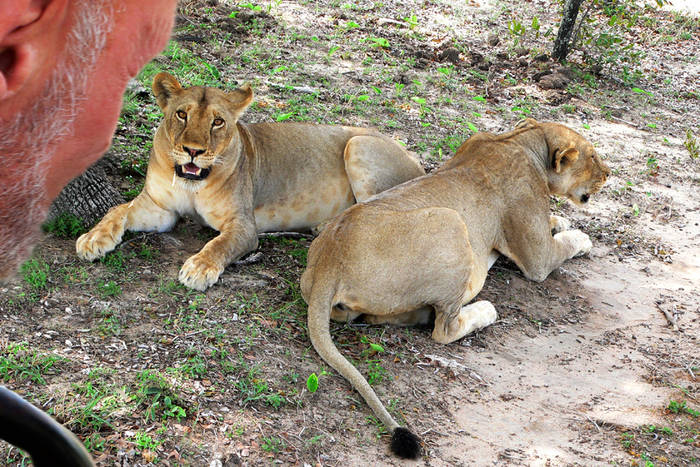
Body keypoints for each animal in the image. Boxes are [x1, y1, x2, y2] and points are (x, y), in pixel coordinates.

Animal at [78, 72, 424, 288]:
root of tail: (417, 162)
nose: (193, 151)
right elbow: (117, 210)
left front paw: (198, 269)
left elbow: (219, 244)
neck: (193, 184)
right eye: (181, 114)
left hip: (359, 144)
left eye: (218, 122)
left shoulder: (244, 225)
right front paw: (93, 239)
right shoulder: (160, 209)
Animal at [300, 119, 608, 458]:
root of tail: (329, 261)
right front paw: (581, 237)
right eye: (593, 157)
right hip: (452, 221)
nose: (609, 174)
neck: (524, 140)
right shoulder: (538, 258)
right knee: (444, 329)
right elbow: (566, 245)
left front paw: (560, 220)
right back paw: (485, 311)